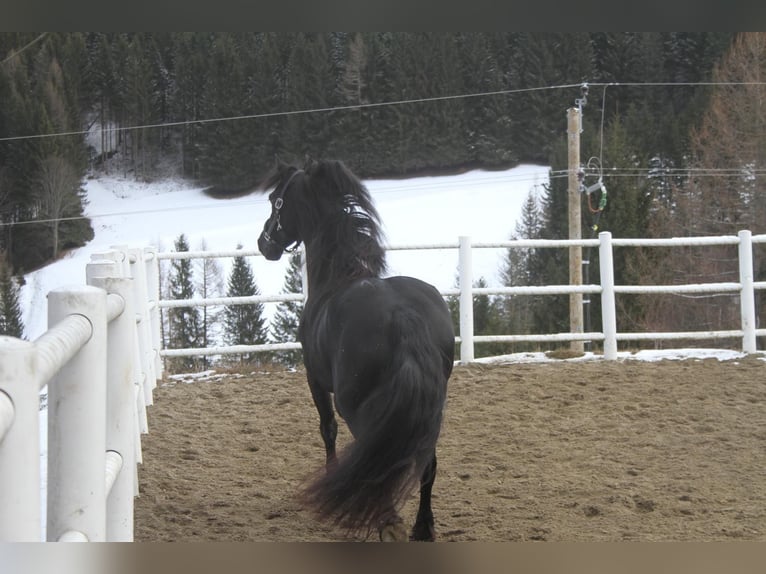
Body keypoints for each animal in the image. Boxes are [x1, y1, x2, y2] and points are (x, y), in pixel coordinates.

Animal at [256, 159, 456, 544]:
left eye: (275, 200)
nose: (264, 243)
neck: (339, 275)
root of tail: (403, 316)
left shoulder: (315, 380)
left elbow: (327, 429)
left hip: (361, 409)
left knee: (377, 460)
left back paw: (387, 522)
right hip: (430, 410)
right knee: (426, 464)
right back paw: (421, 528)